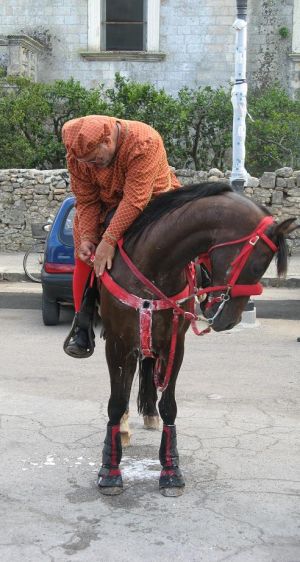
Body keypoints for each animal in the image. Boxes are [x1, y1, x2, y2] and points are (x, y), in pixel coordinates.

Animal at [96, 180, 296, 494]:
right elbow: (116, 402)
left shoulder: (175, 345)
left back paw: (149, 414)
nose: (229, 321)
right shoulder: (118, 343)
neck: (154, 263)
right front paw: (110, 469)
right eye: (257, 265)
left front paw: (171, 468)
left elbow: (169, 406)